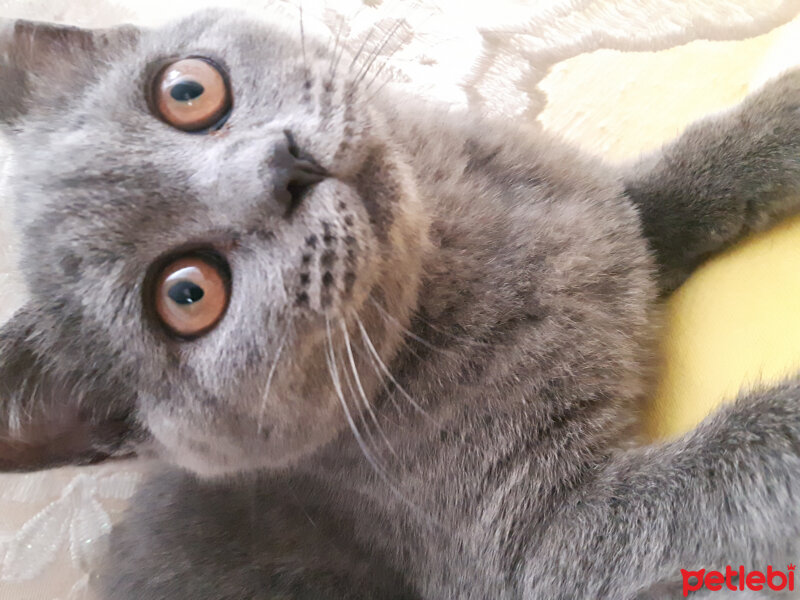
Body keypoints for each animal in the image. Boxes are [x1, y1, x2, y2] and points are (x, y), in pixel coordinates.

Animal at [0, 9, 800, 600]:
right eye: (188, 294)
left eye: (187, 91)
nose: (283, 166)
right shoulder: (540, 546)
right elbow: (726, 468)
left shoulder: (607, 213)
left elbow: (685, 177)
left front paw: (785, 116)